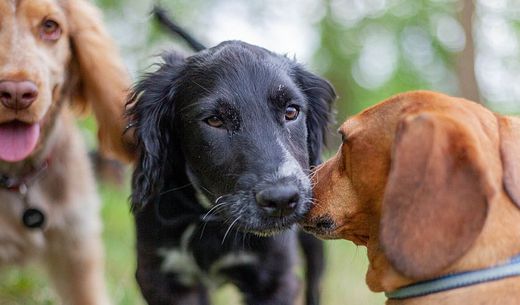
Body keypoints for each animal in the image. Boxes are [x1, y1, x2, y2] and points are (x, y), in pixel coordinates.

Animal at [128, 39, 336, 302]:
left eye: (291, 112)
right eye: (214, 120)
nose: (282, 200)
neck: (211, 219)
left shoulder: (275, 278)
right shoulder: (160, 277)